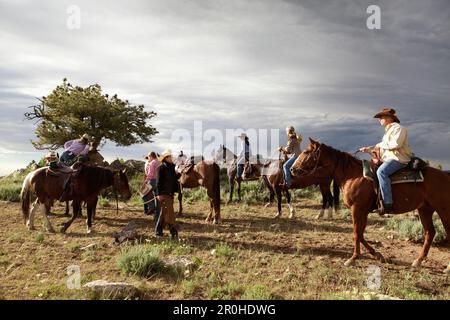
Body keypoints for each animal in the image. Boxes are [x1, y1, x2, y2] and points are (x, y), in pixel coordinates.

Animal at [292, 138, 450, 272]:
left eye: (306, 152)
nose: (293, 169)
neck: (352, 175)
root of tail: (445, 175)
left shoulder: (357, 209)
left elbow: (356, 233)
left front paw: (353, 258)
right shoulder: (363, 211)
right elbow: (361, 234)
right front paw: (377, 254)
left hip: (443, 210)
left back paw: (447, 267)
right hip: (425, 209)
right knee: (430, 233)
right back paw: (418, 261)